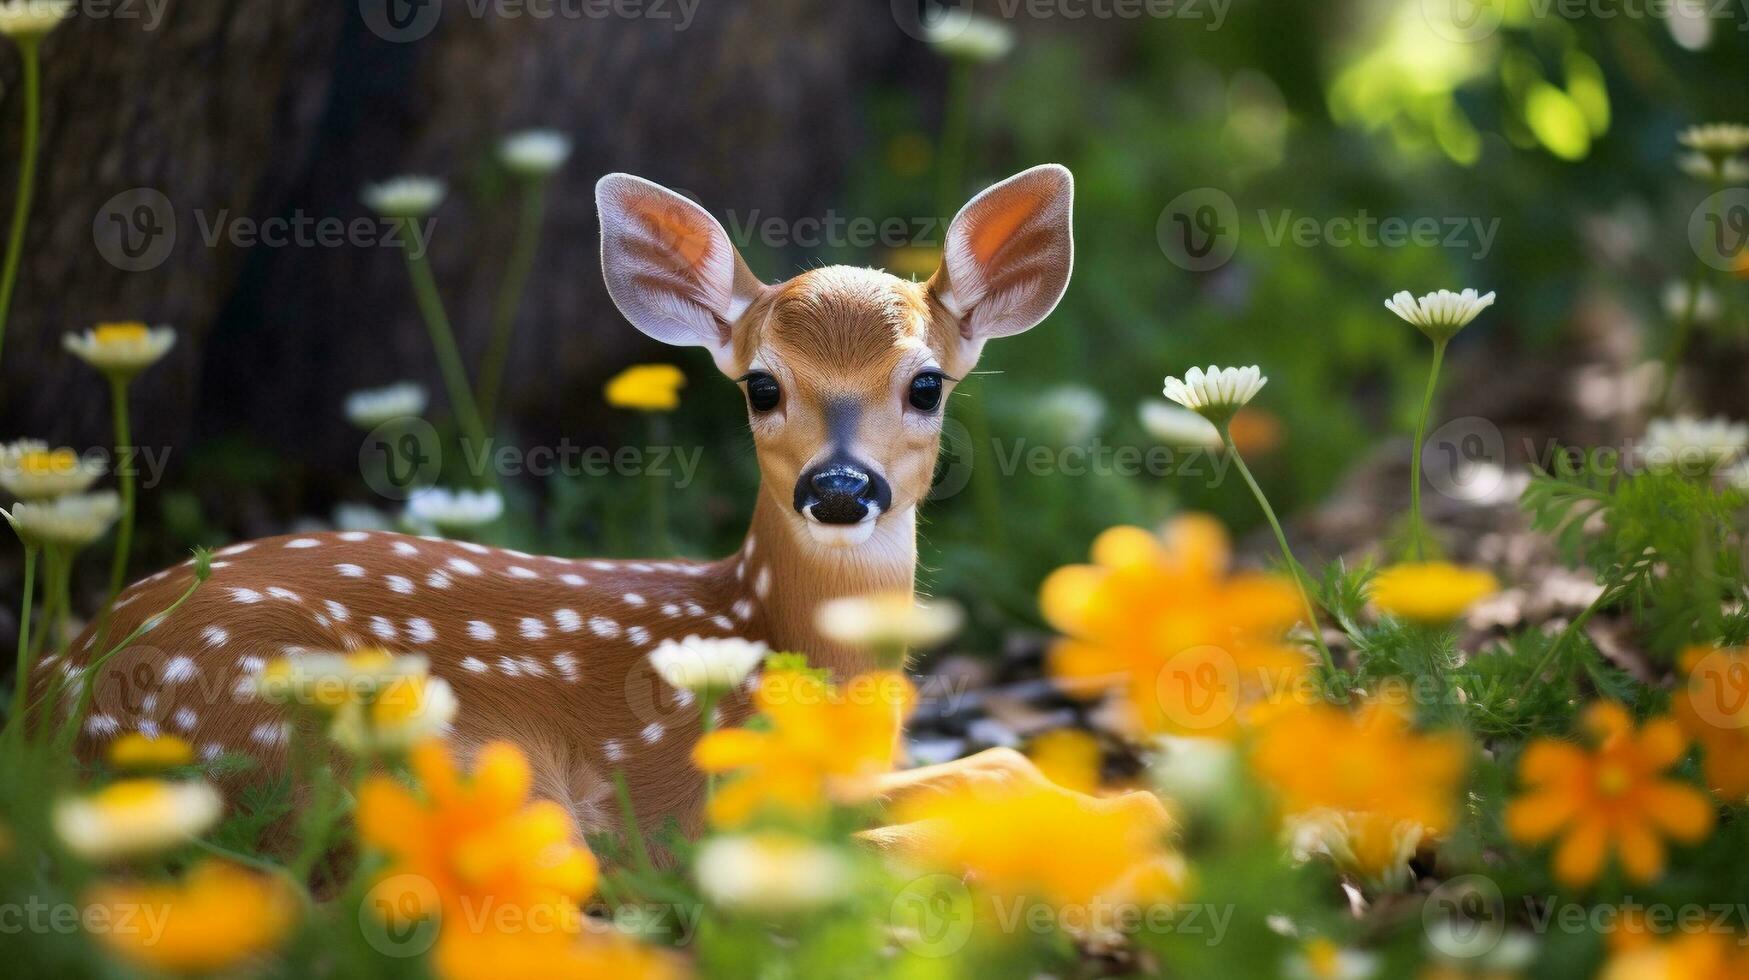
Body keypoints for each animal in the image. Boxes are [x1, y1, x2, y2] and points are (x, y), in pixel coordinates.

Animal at [47, 162, 1161, 850]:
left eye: (927, 383)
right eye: (761, 386)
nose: (840, 487)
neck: (762, 633)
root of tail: (52, 706)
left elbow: (997, 762)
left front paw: (1131, 801)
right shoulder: (697, 793)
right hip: (384, 742)